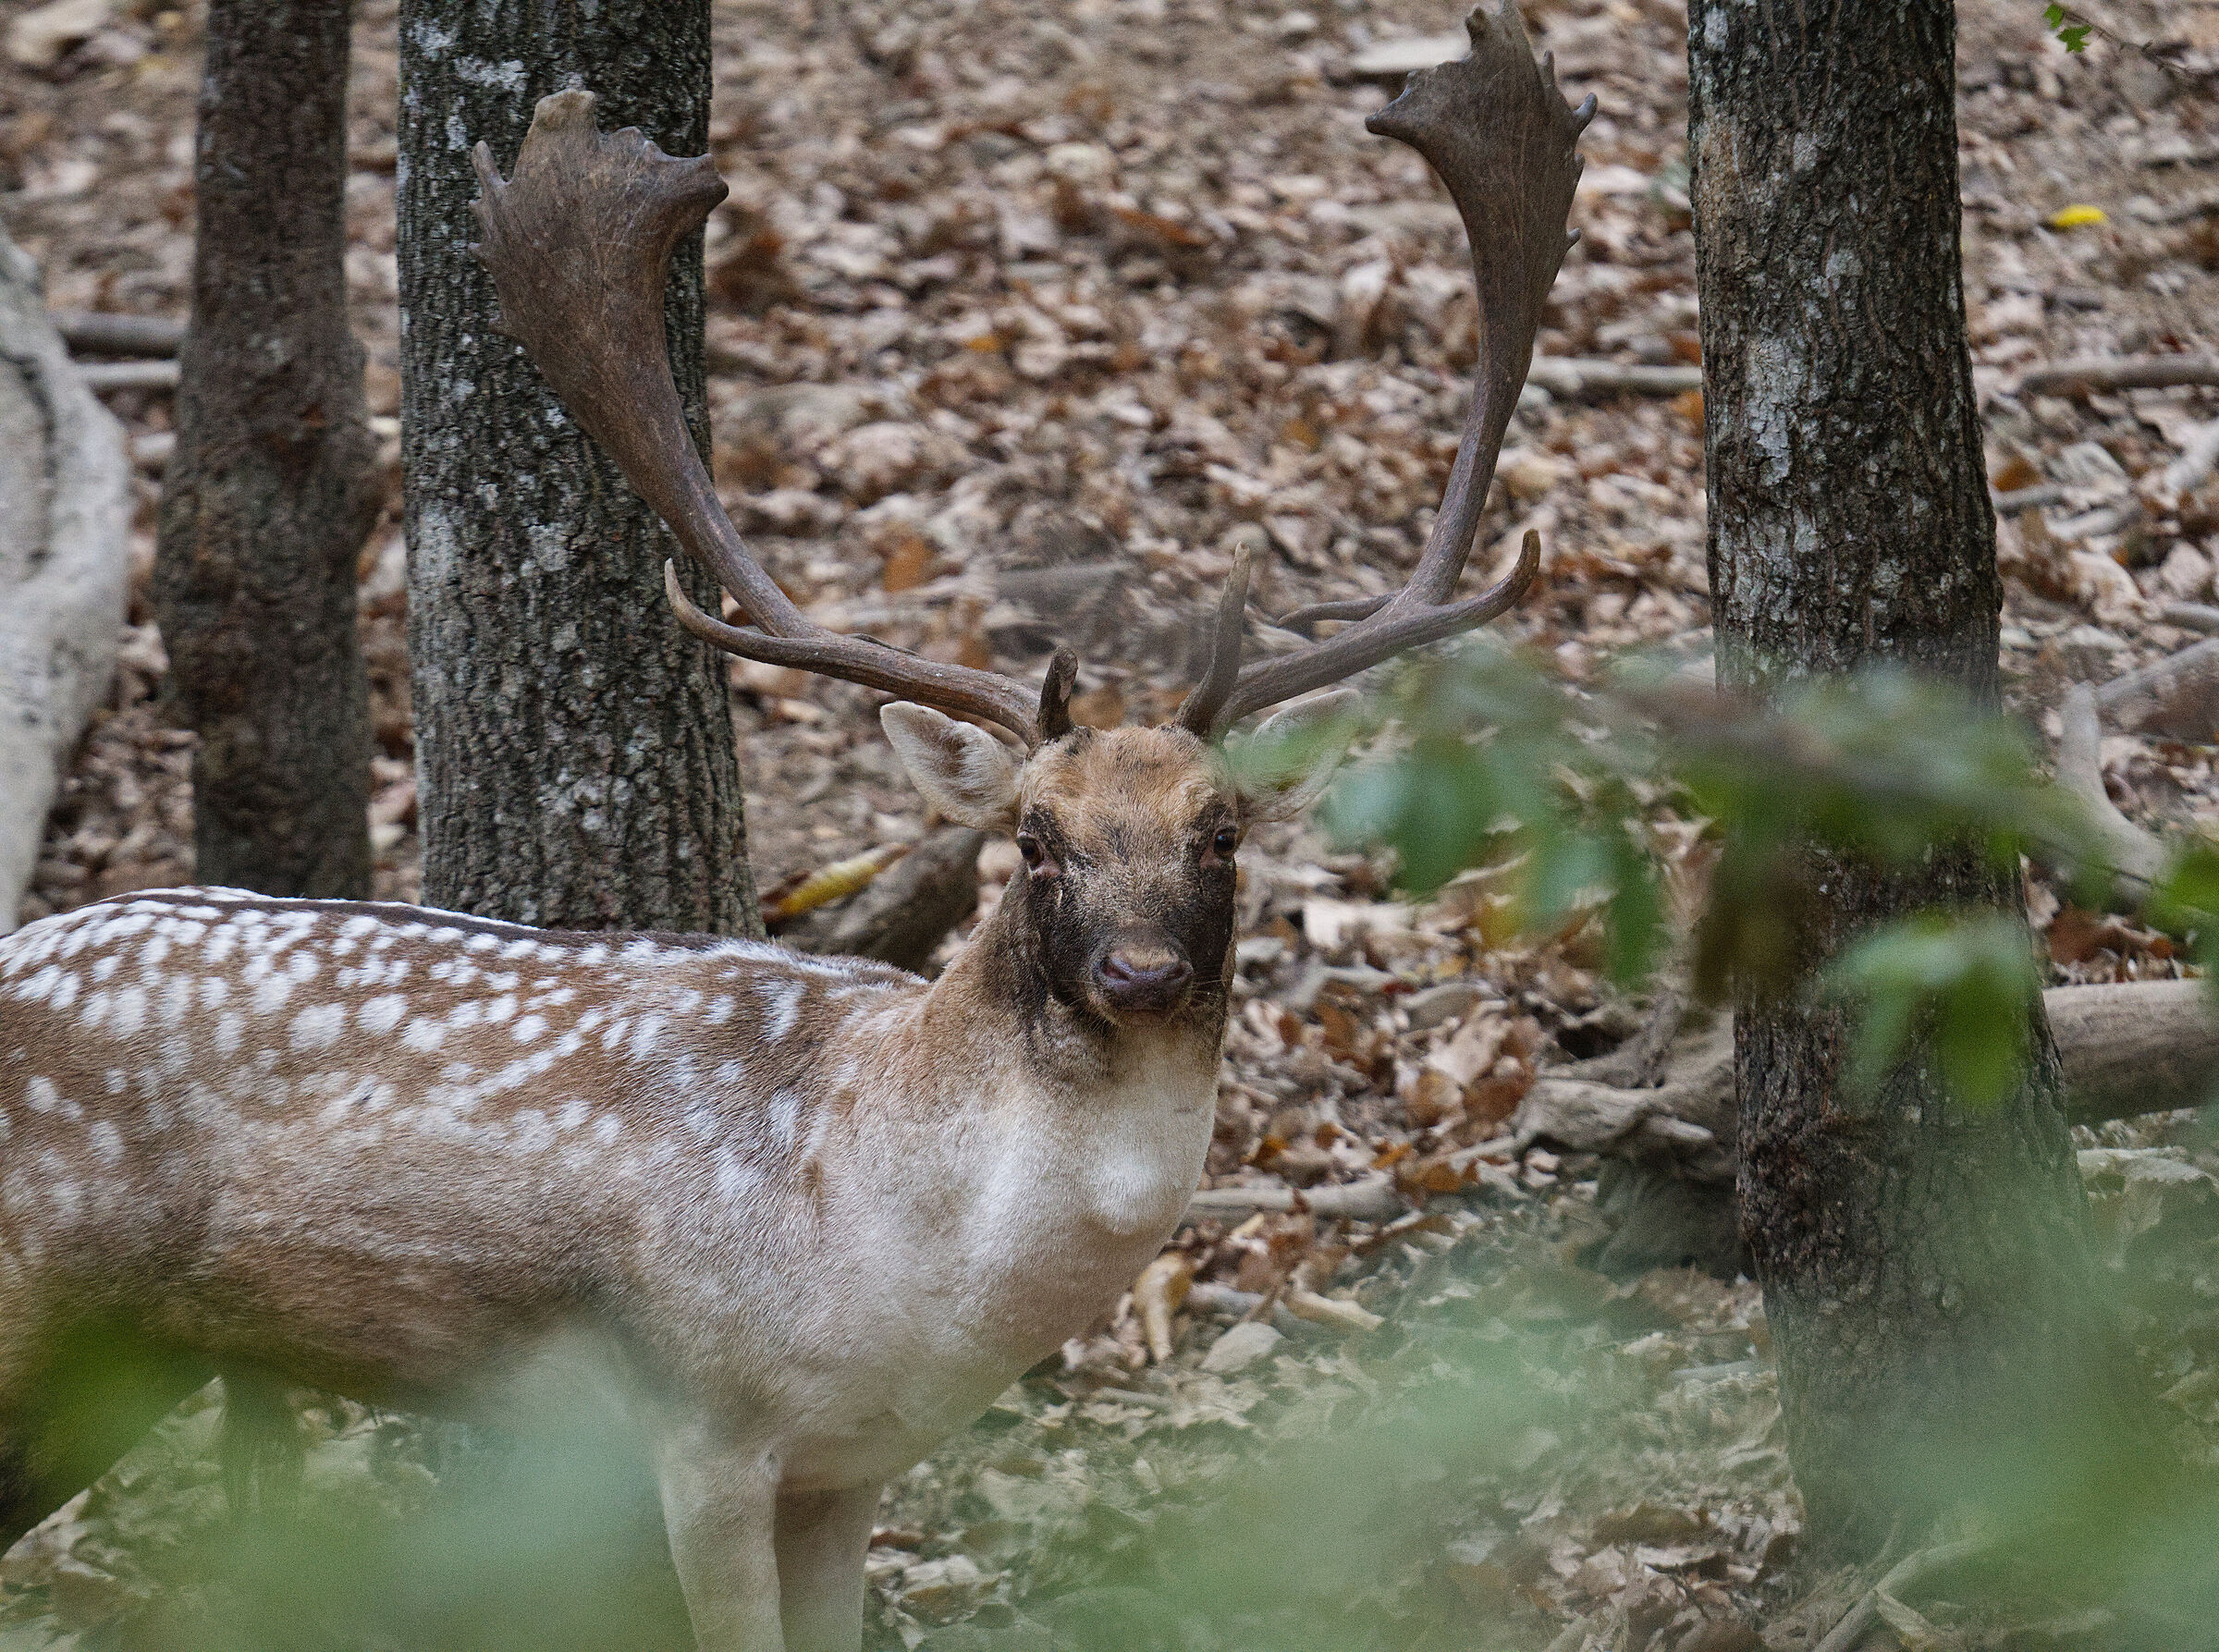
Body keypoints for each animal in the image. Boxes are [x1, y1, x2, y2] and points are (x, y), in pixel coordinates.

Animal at [0, 8, 1588, 1648]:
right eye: (1033, 837)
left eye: (1222, 831)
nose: (1142, 971)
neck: (896, 1267)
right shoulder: (700, 1422)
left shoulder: (851, 1462)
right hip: (37, 1304)